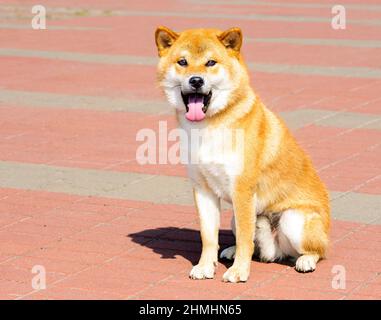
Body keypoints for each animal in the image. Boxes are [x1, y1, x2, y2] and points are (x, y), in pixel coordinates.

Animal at [153, 26, 328, 282]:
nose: (196, 80)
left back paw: (305, 260)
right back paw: (231, 250)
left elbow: (246, 240)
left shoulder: (242, 189)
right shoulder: (203, 189)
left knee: (318, 250)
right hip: (238, 217)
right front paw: (205, 266)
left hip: (292, 220)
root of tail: (275, 251)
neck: (209, 127)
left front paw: (238, 271)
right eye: (182, 62)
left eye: (211, 62)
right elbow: (208, 237)